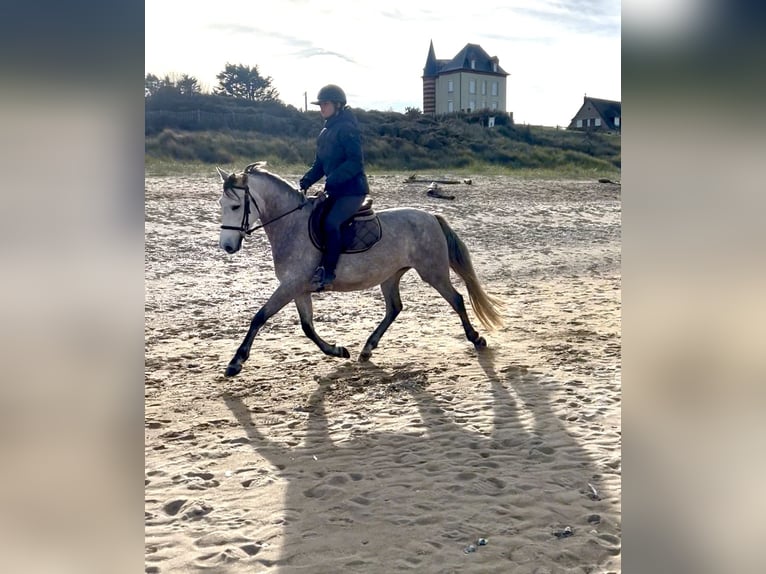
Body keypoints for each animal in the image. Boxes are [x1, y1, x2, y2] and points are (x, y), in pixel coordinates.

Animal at [216, 162, 504, 377]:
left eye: (235, 206)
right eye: (221, 205)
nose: (227, 246)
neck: (291, 224)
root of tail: (431, 217)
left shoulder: (290, 286)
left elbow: (259, 317)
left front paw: (236, 362)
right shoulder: (298, 288)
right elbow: (307, 327)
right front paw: (337, 350)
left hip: (433, 272)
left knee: (456, 299)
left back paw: (476, 338)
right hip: (391, 275)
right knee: (394, 308)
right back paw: (367, 348)